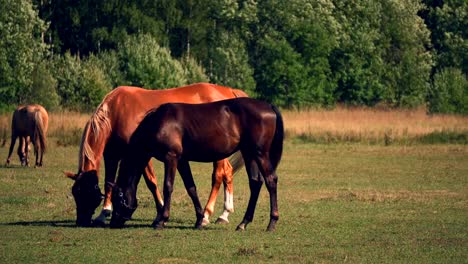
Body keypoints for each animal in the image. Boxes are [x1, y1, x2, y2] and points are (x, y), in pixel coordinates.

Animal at [66, 83, 250, 227]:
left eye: (86, 194)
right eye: (75, 193)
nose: (81, 221)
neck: (117, 112)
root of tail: (228, 90)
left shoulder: (141, 155)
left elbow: (152, 183)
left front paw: (161, 212)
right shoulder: (112, 155)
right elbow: (108, 183)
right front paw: (103, 214)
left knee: (219, 175)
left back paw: (207, 214)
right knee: (228, 172)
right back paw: (224, 214)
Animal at [110, 97, 284, 231]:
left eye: (118, 198)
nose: (112, 223)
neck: (159, 122)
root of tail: (269, 106)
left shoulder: (171, 157)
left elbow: (168, 186)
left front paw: (161, 220)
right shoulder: (181, 160)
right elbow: (191, 188)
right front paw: (200, 219)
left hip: (260, 154)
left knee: (271, 181)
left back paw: (272, 222)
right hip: (249, 154)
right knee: (255, 183)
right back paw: (243, 223)